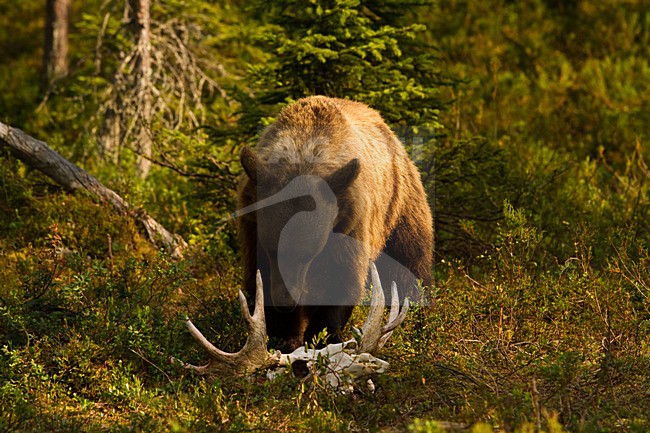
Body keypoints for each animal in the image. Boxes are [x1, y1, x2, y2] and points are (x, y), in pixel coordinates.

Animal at [237, 96, 433, 351]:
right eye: (271, 249)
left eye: (307, 253)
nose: (285, 302)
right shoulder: (252, 229)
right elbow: (257, 281)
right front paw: (285, 336)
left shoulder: (349, 226)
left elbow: (342, 283)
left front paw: (319, 337)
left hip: (400, 208)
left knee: (410, 266)